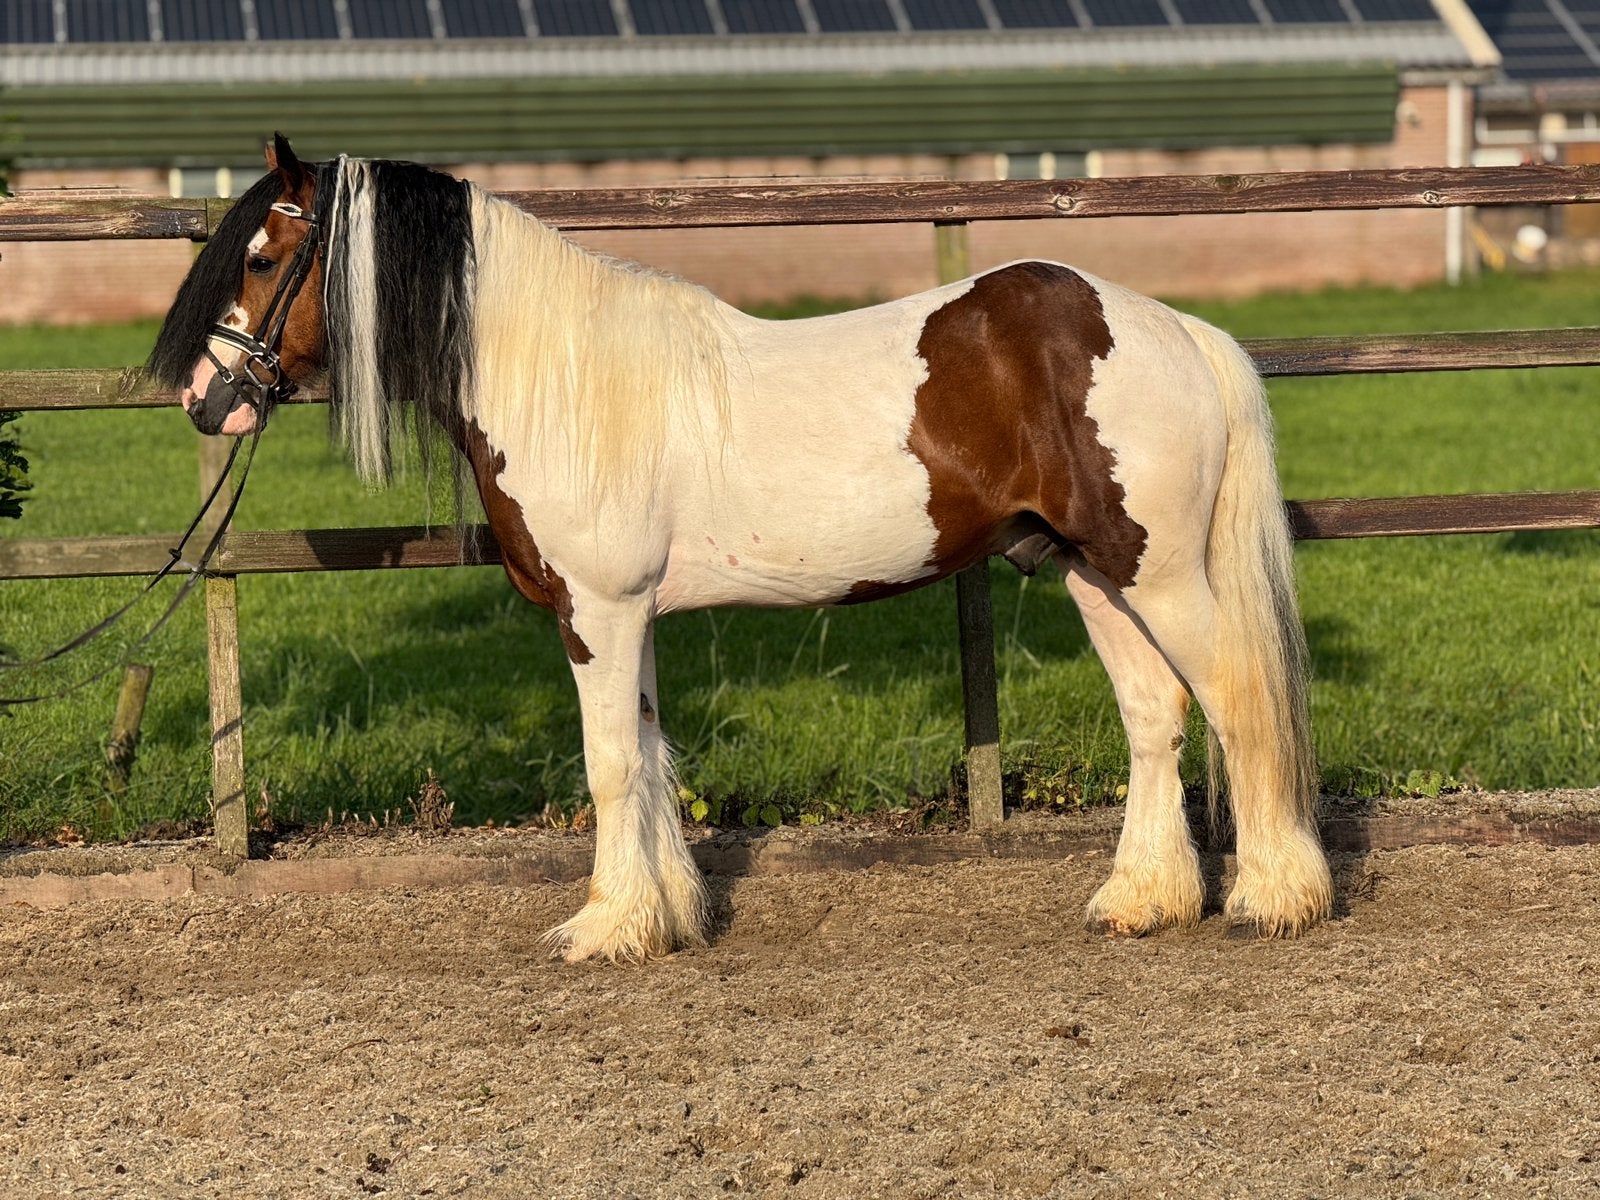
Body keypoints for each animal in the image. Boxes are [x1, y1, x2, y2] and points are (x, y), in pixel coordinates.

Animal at [149, 136, 1333, 961]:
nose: (205, 400)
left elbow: (610, 764)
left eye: (263, 255)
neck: (561, 379)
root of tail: (1176, 330)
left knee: (1236, 694)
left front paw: (604, 929)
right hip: (1091, 571)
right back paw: (1142, 901)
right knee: (1156, 713)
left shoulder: (598, 613)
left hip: (1158, 572)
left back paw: (1273, 898)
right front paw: (664, 916)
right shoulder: (627, 618)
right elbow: (648, 754)